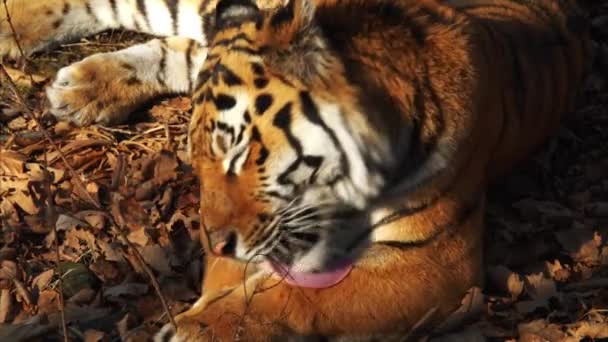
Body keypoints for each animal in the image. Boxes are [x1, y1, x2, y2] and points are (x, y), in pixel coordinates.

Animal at [0, 0, 588, 340]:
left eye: (240, 154)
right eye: (199, 159)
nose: (212, 240)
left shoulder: (431, 264)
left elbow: (300, 297)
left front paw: (202, 325)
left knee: (180, 47)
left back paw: (80, 87)